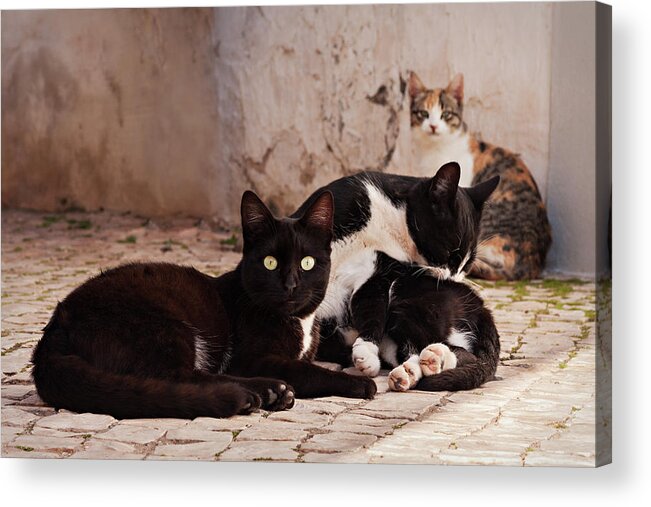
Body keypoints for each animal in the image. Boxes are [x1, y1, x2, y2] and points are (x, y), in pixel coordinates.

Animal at [31, 190, 376, 420]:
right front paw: (360, 383)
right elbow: (307, 369)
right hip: (163, 325)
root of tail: (58, 321)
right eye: (270, 262)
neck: (300, 323)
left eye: (306, 263)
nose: (290, 285)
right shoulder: (250, 358)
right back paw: (263, 393)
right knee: (174, 377)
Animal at [292, 163, 502, 378]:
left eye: (467, 266)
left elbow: (372, 311)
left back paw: (431, 360)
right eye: (449, 254)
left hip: (407, 297)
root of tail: (483, 310)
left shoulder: (377, 274)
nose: (453, 281)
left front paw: (366, 354)